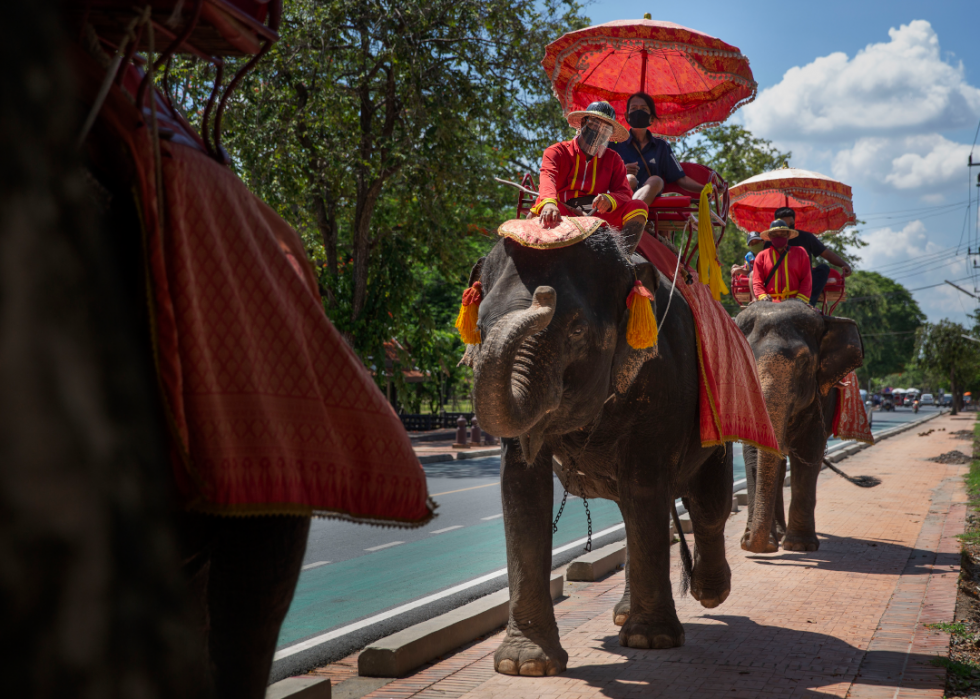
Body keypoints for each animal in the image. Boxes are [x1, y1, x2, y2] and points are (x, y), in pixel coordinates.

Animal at [468, 230, 736, 680]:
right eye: (482, 325)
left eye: (576, 329)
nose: (543, 295)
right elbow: (522, 490)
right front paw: (524, 665)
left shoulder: (662, 378)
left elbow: (644, 485)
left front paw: (650, 641)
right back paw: (626, 613)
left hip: (720, 413)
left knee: (708, 504)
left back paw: (710, 593)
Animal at [736, 298, 864, 556]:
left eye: (804, 362)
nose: (754, 545)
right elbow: (754, 450)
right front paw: (757, 544)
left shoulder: (821, 396)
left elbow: (809, 451)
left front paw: (800, 546)